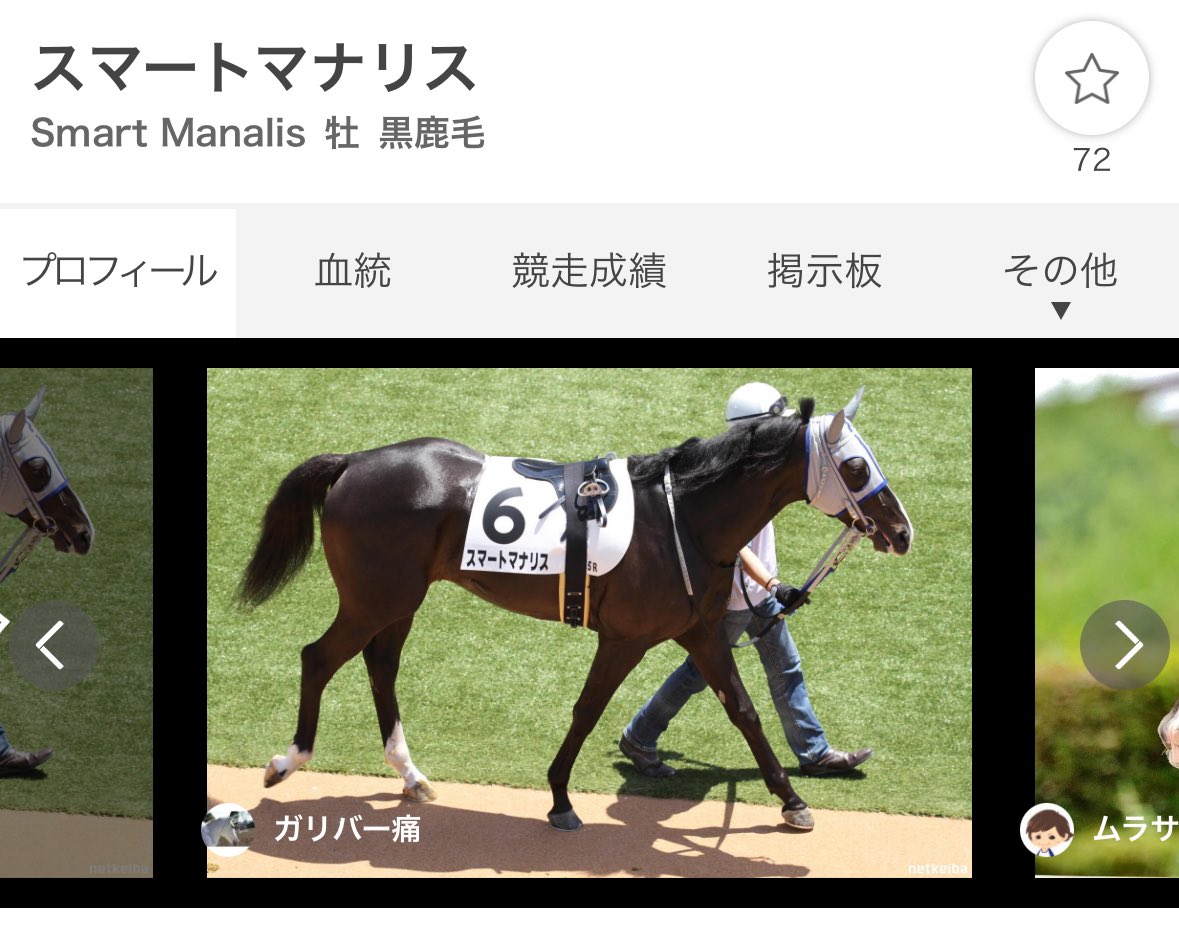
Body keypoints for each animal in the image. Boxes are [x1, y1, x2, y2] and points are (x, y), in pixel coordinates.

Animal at [240, 387, 914, 831]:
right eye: (856, 466)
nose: (903, 531)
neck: (683, 517)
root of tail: (353, 461)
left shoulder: (699, 631)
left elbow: (744, 710)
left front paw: (792, 800)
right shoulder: (625, 637)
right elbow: (588, 710)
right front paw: (561, 798)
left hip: (400, 599)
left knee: (380, 665)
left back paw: (411, 775)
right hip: (373, 597)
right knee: (318, 657)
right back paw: (285, 762)